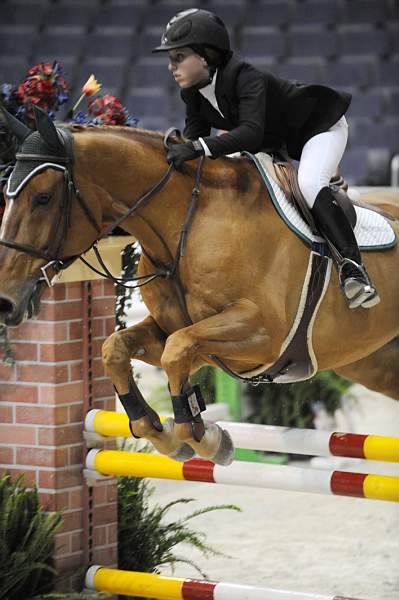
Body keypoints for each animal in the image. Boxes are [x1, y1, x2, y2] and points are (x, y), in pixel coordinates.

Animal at [0, 106, 399, 464]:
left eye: (42, 197)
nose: (6, 302)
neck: (188, 224)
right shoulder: (178, 332)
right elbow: (117, 348)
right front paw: (161, 432)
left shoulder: (263, 335)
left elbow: (177, 351)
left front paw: (205, 439)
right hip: (374, 363)